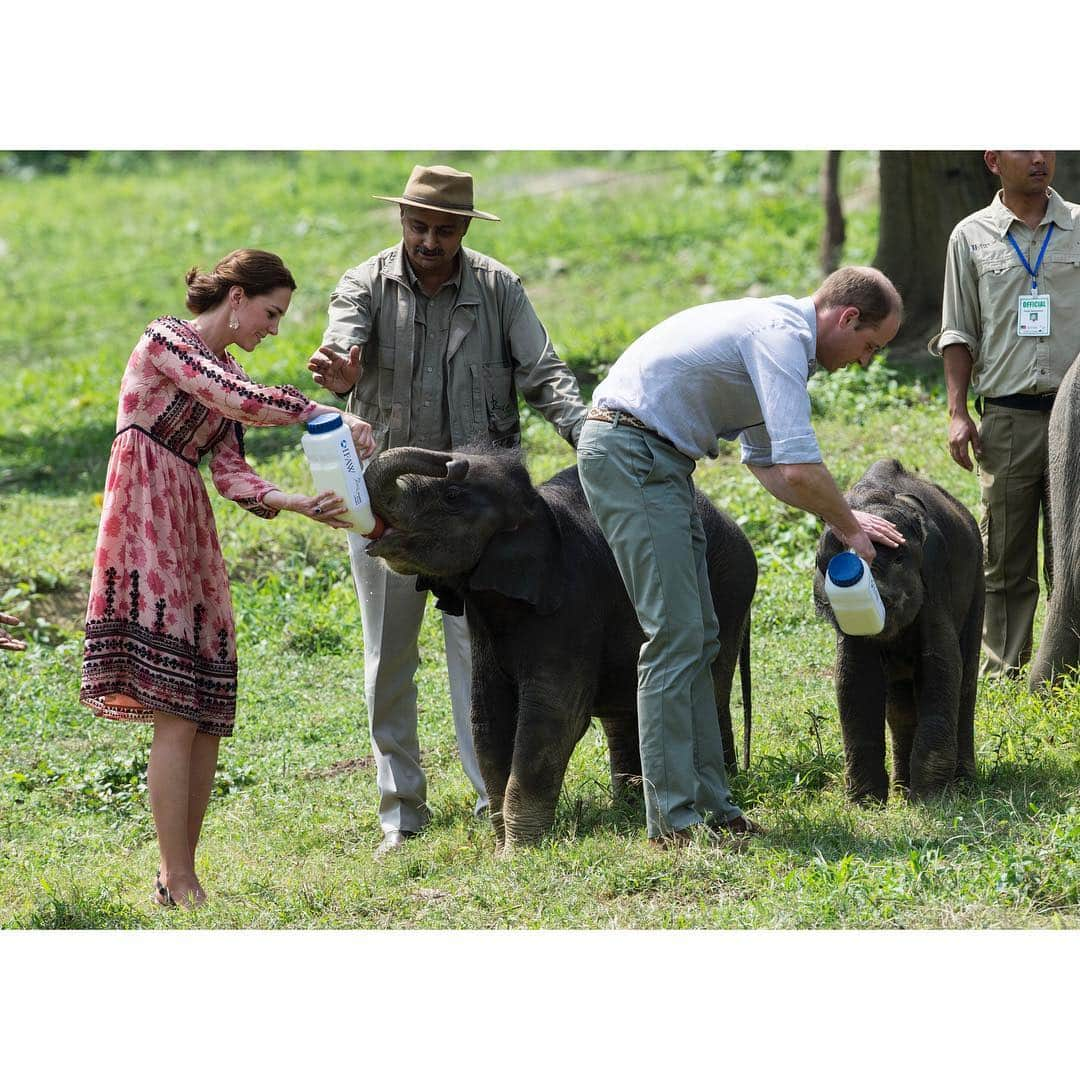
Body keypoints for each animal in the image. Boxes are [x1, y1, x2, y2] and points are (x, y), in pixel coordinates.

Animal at [358, 442, 756, 846]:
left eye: (452, 495)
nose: (451, 459)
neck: (536, 507)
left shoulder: (574, 603)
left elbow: (553, 715)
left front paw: (520, 849)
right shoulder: (485, 620)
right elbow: (487, 714)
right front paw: (503, 846)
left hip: (728, 589)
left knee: (711, 684)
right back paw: (628, 804)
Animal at [812, 455, 984, 803]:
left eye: (900, 558)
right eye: (826, 562)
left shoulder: (934, 574)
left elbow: (942, 664)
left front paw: (931, 798)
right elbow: (854, 676)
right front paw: (866, 802)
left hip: (978, 579)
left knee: (965, 678)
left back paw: (961, 784)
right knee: (900, 704)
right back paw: (903, 789)